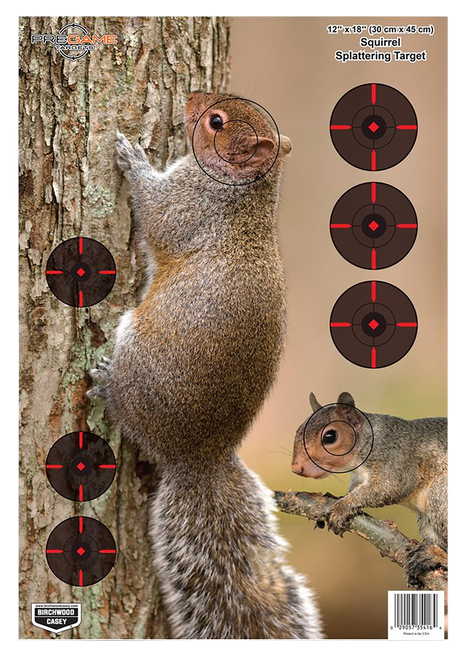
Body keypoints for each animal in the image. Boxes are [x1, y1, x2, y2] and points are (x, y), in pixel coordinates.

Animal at [89, 92, 322, 639]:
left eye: (217, 121)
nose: (191, 101)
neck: (246, 193)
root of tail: (199, 456)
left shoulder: (188, 206)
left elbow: (155, 213)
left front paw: (132, 157)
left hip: (139, 357)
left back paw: (106, 385)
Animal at [292, 392, 448, 586]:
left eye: (329, 436)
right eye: (298, 430)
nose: (296, 467)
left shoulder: (396, 460)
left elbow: (390, 487)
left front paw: (342, 507)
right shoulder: (358, 479)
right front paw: (336, 499)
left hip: (441, 494)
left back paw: (436, 556)